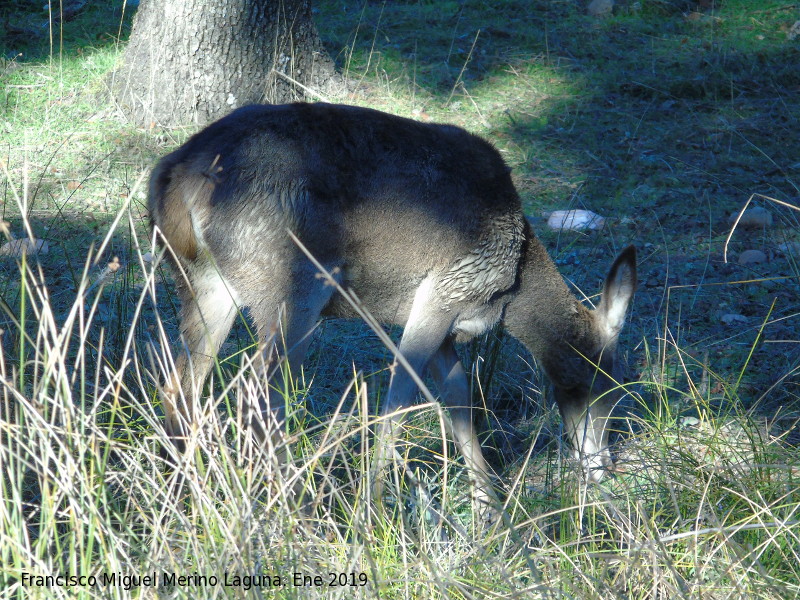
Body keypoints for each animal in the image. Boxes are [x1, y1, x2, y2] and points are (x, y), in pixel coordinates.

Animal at [148, 102, 636, 516]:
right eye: (606, 383)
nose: (604, 465)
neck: (510, 287)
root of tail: (173, 179)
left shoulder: (449, 322)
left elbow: (459, 398)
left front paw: (490, 507)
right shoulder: (442, 292)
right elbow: (399, 398)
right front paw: (374, 509)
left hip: (204, 283)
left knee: (181, 385)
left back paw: (180, 498)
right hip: (292, 285)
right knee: (259, 396)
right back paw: (297, 510)